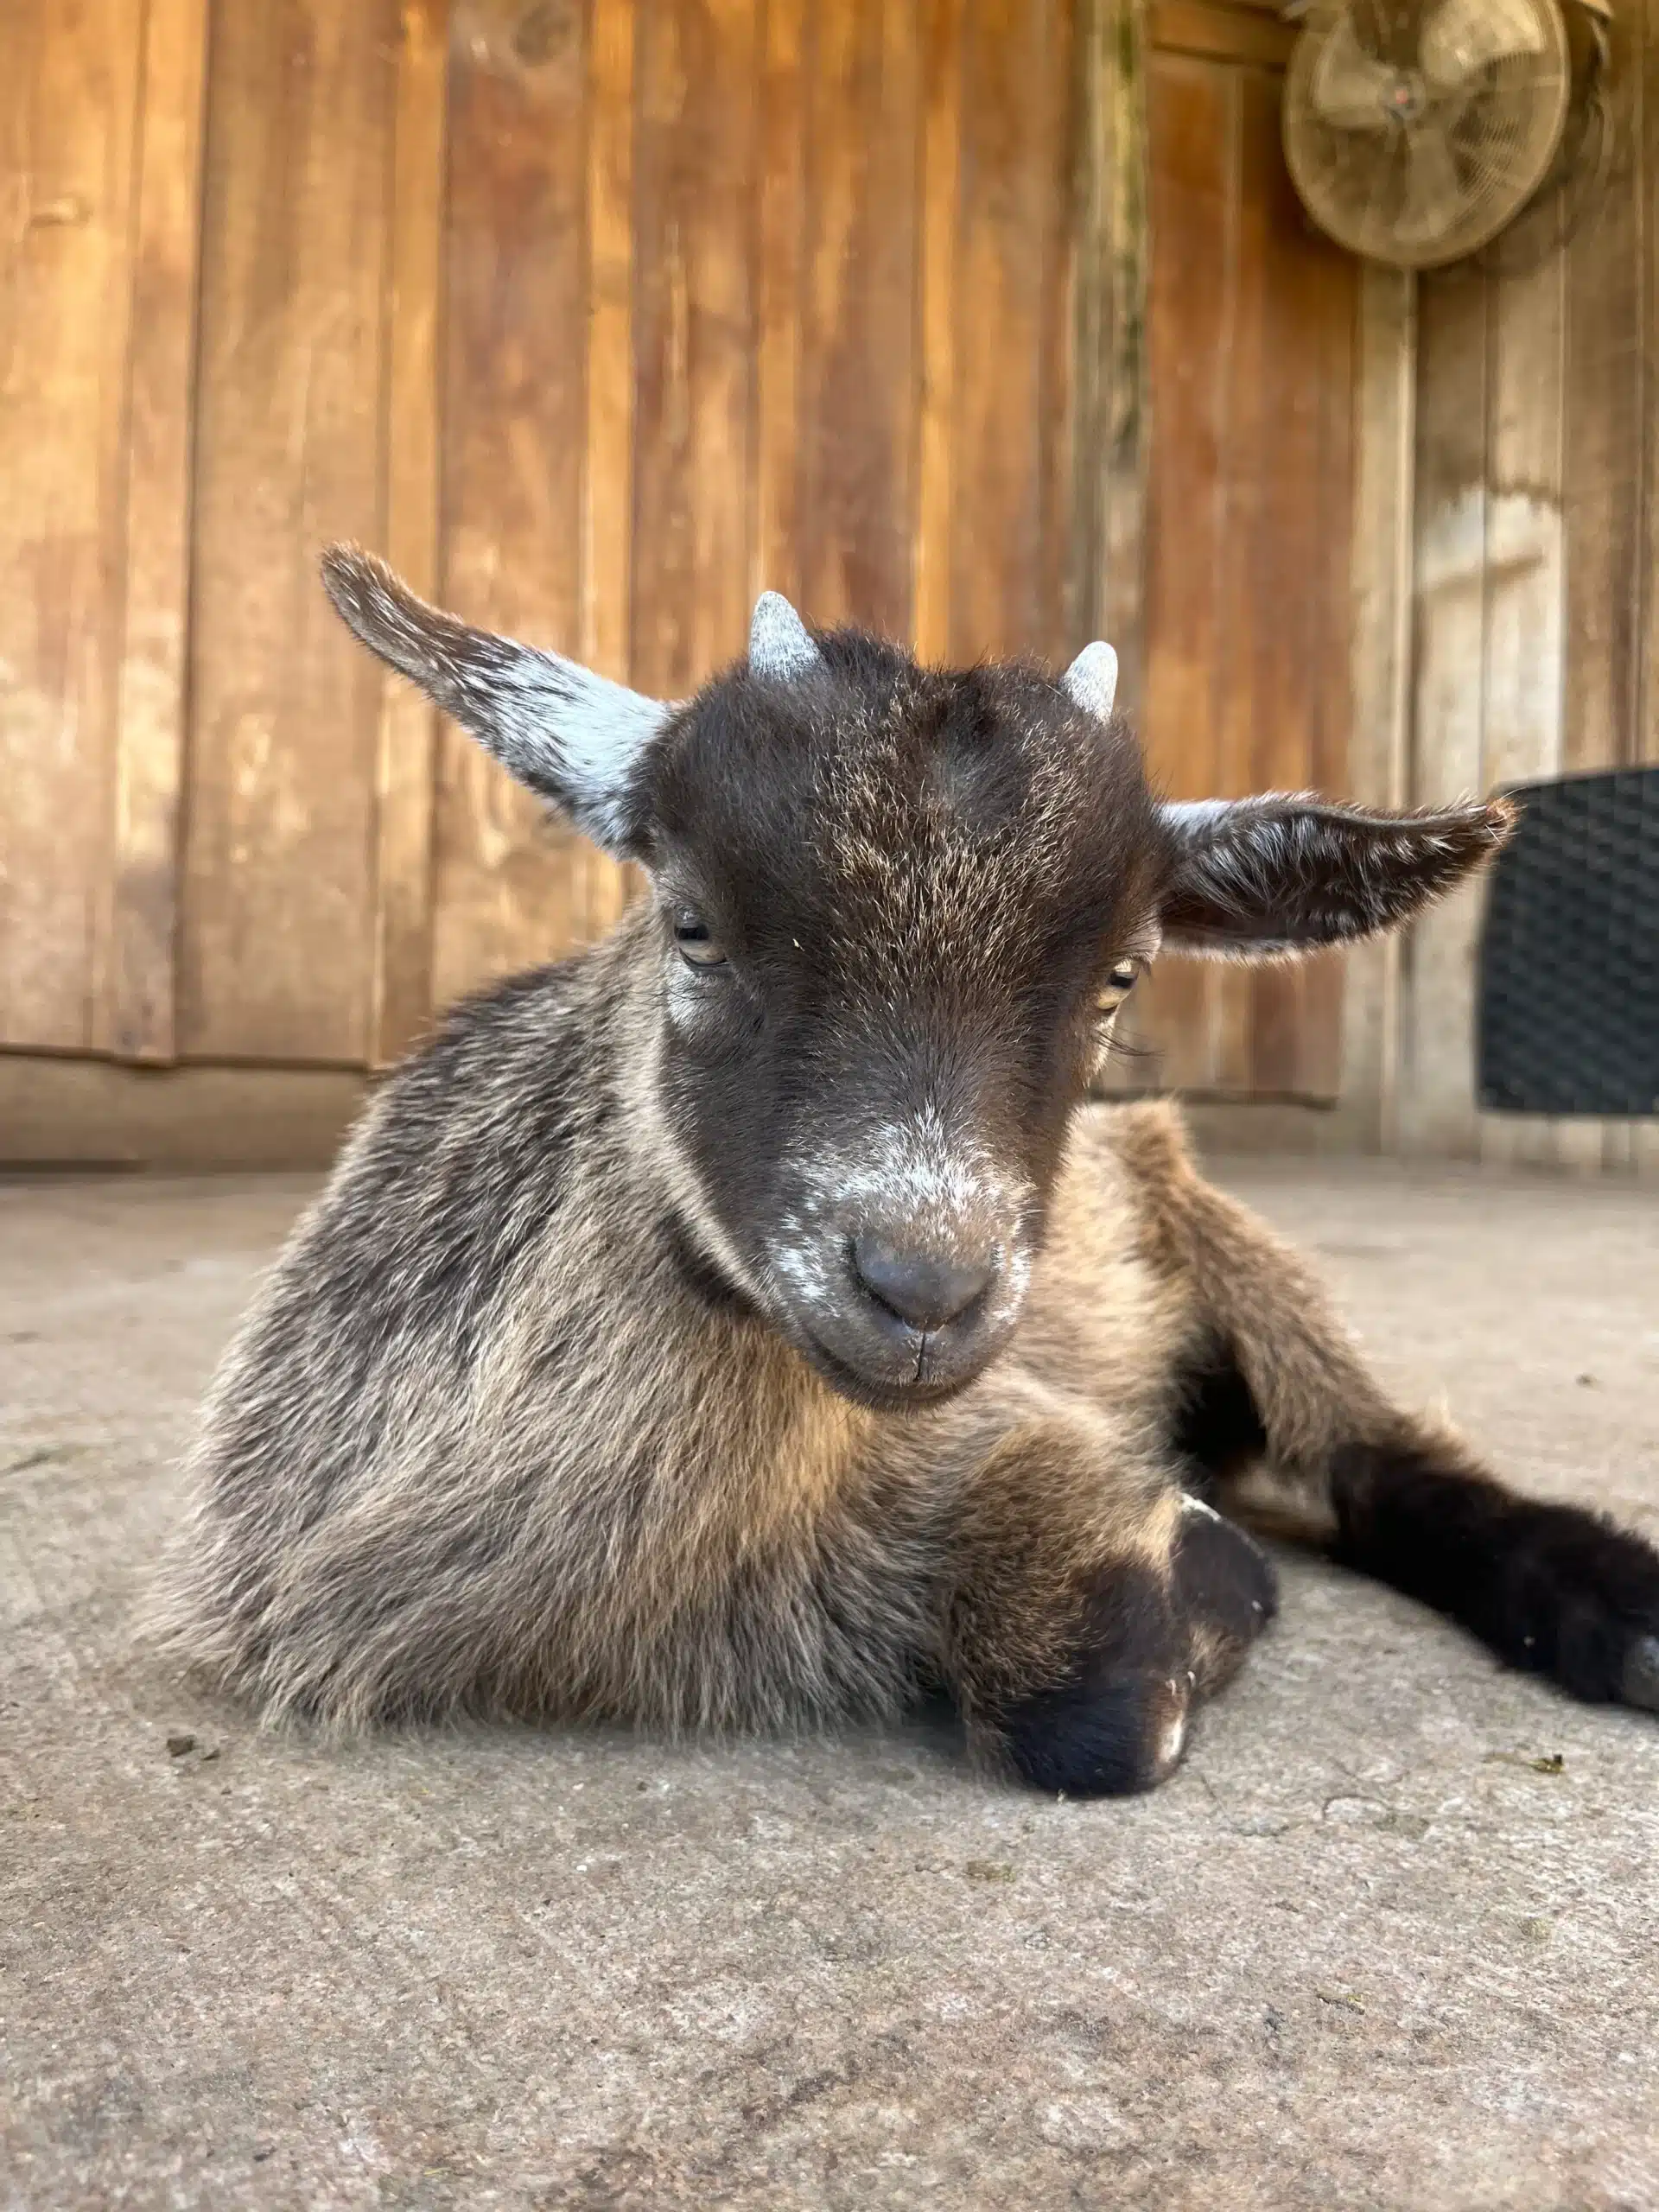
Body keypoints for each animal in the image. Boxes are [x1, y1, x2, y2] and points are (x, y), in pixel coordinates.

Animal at [151, 548, 1659, 1795]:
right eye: (691, 922)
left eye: (1121, 977)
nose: (924, 1288)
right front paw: (1203, 1573)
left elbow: (1098, 1706)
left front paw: (1205, 1584)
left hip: (1218, 1230)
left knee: (1367, 1450)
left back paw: (1611, 1613)